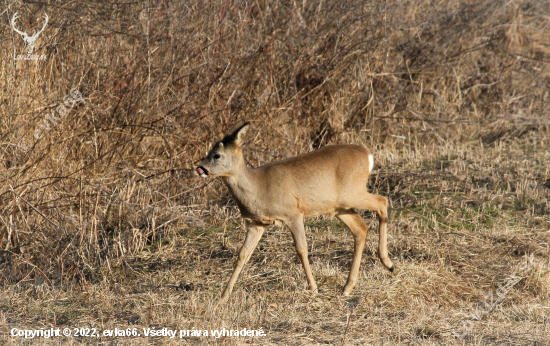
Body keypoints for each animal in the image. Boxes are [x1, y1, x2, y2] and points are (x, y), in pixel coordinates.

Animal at [196, 121, 394, 302]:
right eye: (209, 152)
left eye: (217, 155)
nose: (200, 168)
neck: (258, 188)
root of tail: (368, 156)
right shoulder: (256, 224)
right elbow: (243, 254)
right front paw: (223, 297)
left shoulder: (293, 213)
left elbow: (301, 249)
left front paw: (313, 289)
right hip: (340, 207)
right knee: (360, 228)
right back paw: (348, 287)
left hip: (352, 193)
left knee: (382, 201)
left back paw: (387, 262)